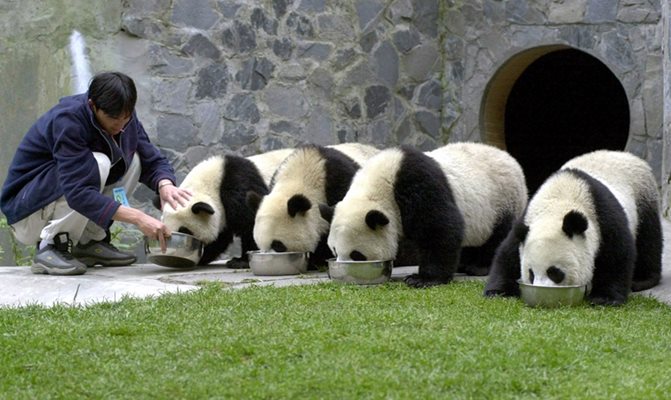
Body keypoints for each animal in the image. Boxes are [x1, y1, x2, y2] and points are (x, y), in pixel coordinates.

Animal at [322, 142, 528, 286]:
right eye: (334, 250)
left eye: (357, 255)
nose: (342, 267)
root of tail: (511, 160)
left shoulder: (418, 185)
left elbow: (439, 229)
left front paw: (421, 279)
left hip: (502, 200)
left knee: (498, 235)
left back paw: (479, 266)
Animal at [486, 150, 664, 306]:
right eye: (530, 273)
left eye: (554, 272)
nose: (542, 290)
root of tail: (622, 154)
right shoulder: (526, 220)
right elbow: (507, 255)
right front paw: (498, 291)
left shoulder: (603, 215)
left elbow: (617, 255)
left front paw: (604, 299)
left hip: (643, 197)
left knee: (648, 240)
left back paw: (641, 280)